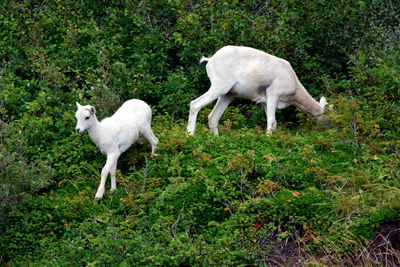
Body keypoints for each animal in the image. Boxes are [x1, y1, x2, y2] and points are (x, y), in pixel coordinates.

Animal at [188, 45, 328, 136]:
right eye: (325, 115)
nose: (324, 130)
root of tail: (210, 60)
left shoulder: (265, 102)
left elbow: (273, 123)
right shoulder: (273, 94)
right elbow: (272, 121)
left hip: (227, 95)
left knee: (213, 117)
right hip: (220, 87)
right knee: (195, 104)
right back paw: (190, 135)